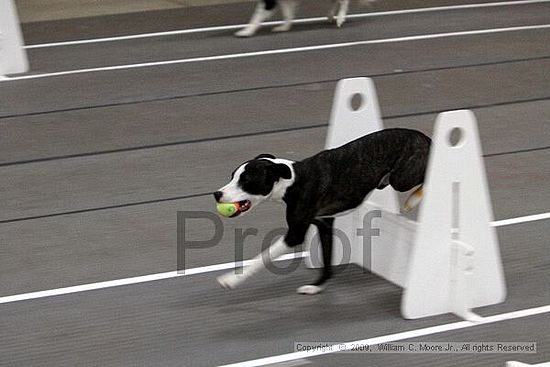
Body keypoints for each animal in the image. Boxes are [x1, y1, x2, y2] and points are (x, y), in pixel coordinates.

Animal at [215, 128, 432, 294]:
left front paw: (231, 279)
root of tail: (424, 138)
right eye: (232, 176)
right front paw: (316, 286)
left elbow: (263, 257)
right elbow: (327, 261)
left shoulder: (294, 235)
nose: (217, 194)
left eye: (247, 181)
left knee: (426, 176)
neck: (292, 181)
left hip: (401, 179)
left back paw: (412, 200)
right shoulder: (324, 223)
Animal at [235, 0, 378, 37]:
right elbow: (288, 14)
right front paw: (284, 27)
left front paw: (246, 32)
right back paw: (330, 16)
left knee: (343, 1)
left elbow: (256, 16)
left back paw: (340, 19)